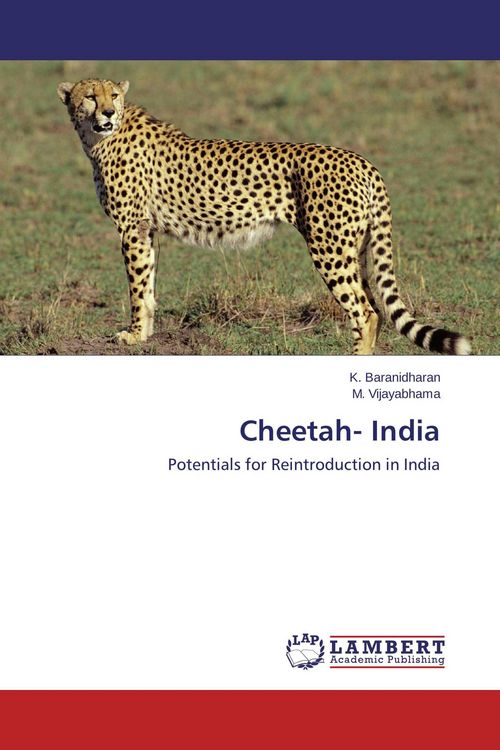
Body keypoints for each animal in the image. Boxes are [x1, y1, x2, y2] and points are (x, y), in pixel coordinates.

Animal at [57, 78, 471, 355]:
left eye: (113, 95)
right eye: (90, 96)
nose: (108, 112)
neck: (99, 138)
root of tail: (361, 160)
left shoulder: (131, 228)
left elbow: (137, 285)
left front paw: (132, 335)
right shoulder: (146, 229)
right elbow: (148, 285)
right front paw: (143, 334)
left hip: (330, 247)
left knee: (366, 312)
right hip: (355, 247)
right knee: (377, 307)